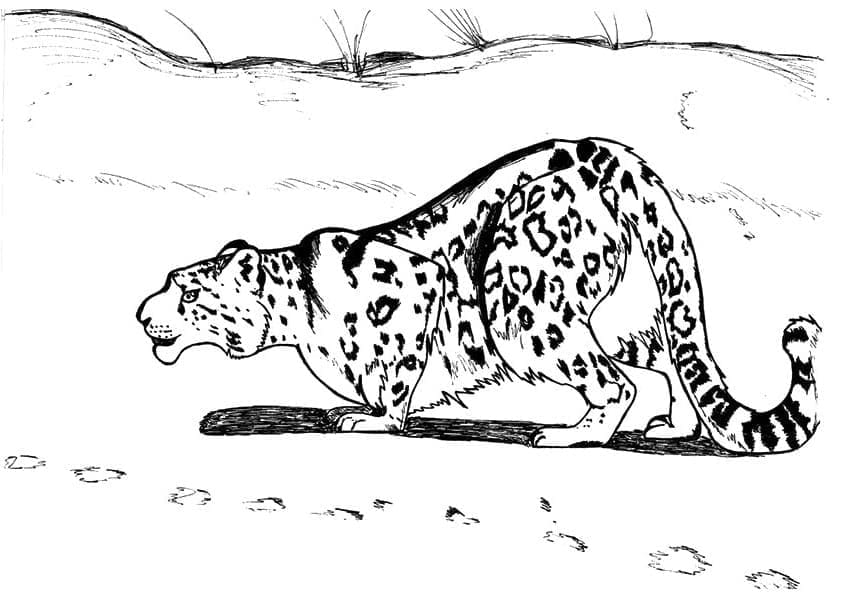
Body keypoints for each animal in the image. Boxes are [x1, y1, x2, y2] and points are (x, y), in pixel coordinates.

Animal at [137, 137, 821, 453]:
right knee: (667, 358)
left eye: (187, 291)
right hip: (628, 315)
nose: (142, 314)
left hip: (526, 313)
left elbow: (397, 372)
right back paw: (671, 423)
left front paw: (374, 417)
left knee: (613, 381)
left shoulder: (414, 286)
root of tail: (621, 161)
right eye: (171, 281)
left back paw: (573, 432)